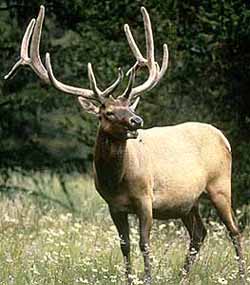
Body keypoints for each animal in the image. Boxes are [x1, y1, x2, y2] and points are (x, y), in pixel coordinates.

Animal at [4, 4, 245, 284]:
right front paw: (130, 278)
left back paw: (240, 274)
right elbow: (125, 245)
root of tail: (224, 138)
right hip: (188, 201)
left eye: (129, 106)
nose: (136, 120)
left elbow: (144, 243)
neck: (116, 180)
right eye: (107, 112)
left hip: (220, 184)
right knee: (199, 233)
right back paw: (182, 277)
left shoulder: (145, 198)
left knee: (234, 230)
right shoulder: (113, 205)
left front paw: (148, 278)